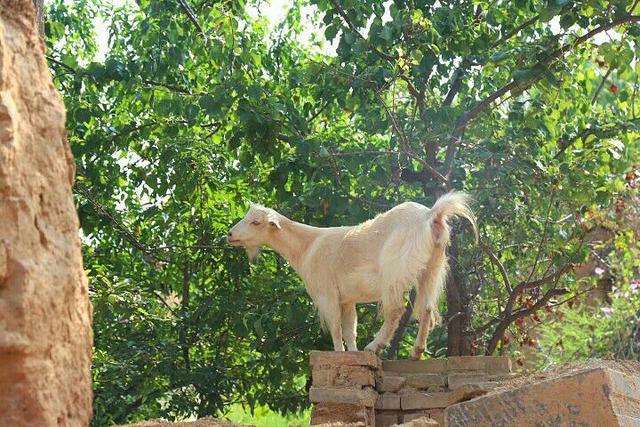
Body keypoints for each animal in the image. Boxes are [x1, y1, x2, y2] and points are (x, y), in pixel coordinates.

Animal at [226, 192, 476, 360]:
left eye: (255, 222)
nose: (229, 234)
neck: (307, 247)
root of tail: (431, 215)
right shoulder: (347, 300)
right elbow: (349, 330)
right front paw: (352, 353)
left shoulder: (327, 295)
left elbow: (336, 329)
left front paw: (339, 353)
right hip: (431, 268)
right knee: (427, 308)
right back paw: (416, 352)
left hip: (394, 271)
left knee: (396, 310)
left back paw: (375, 346)